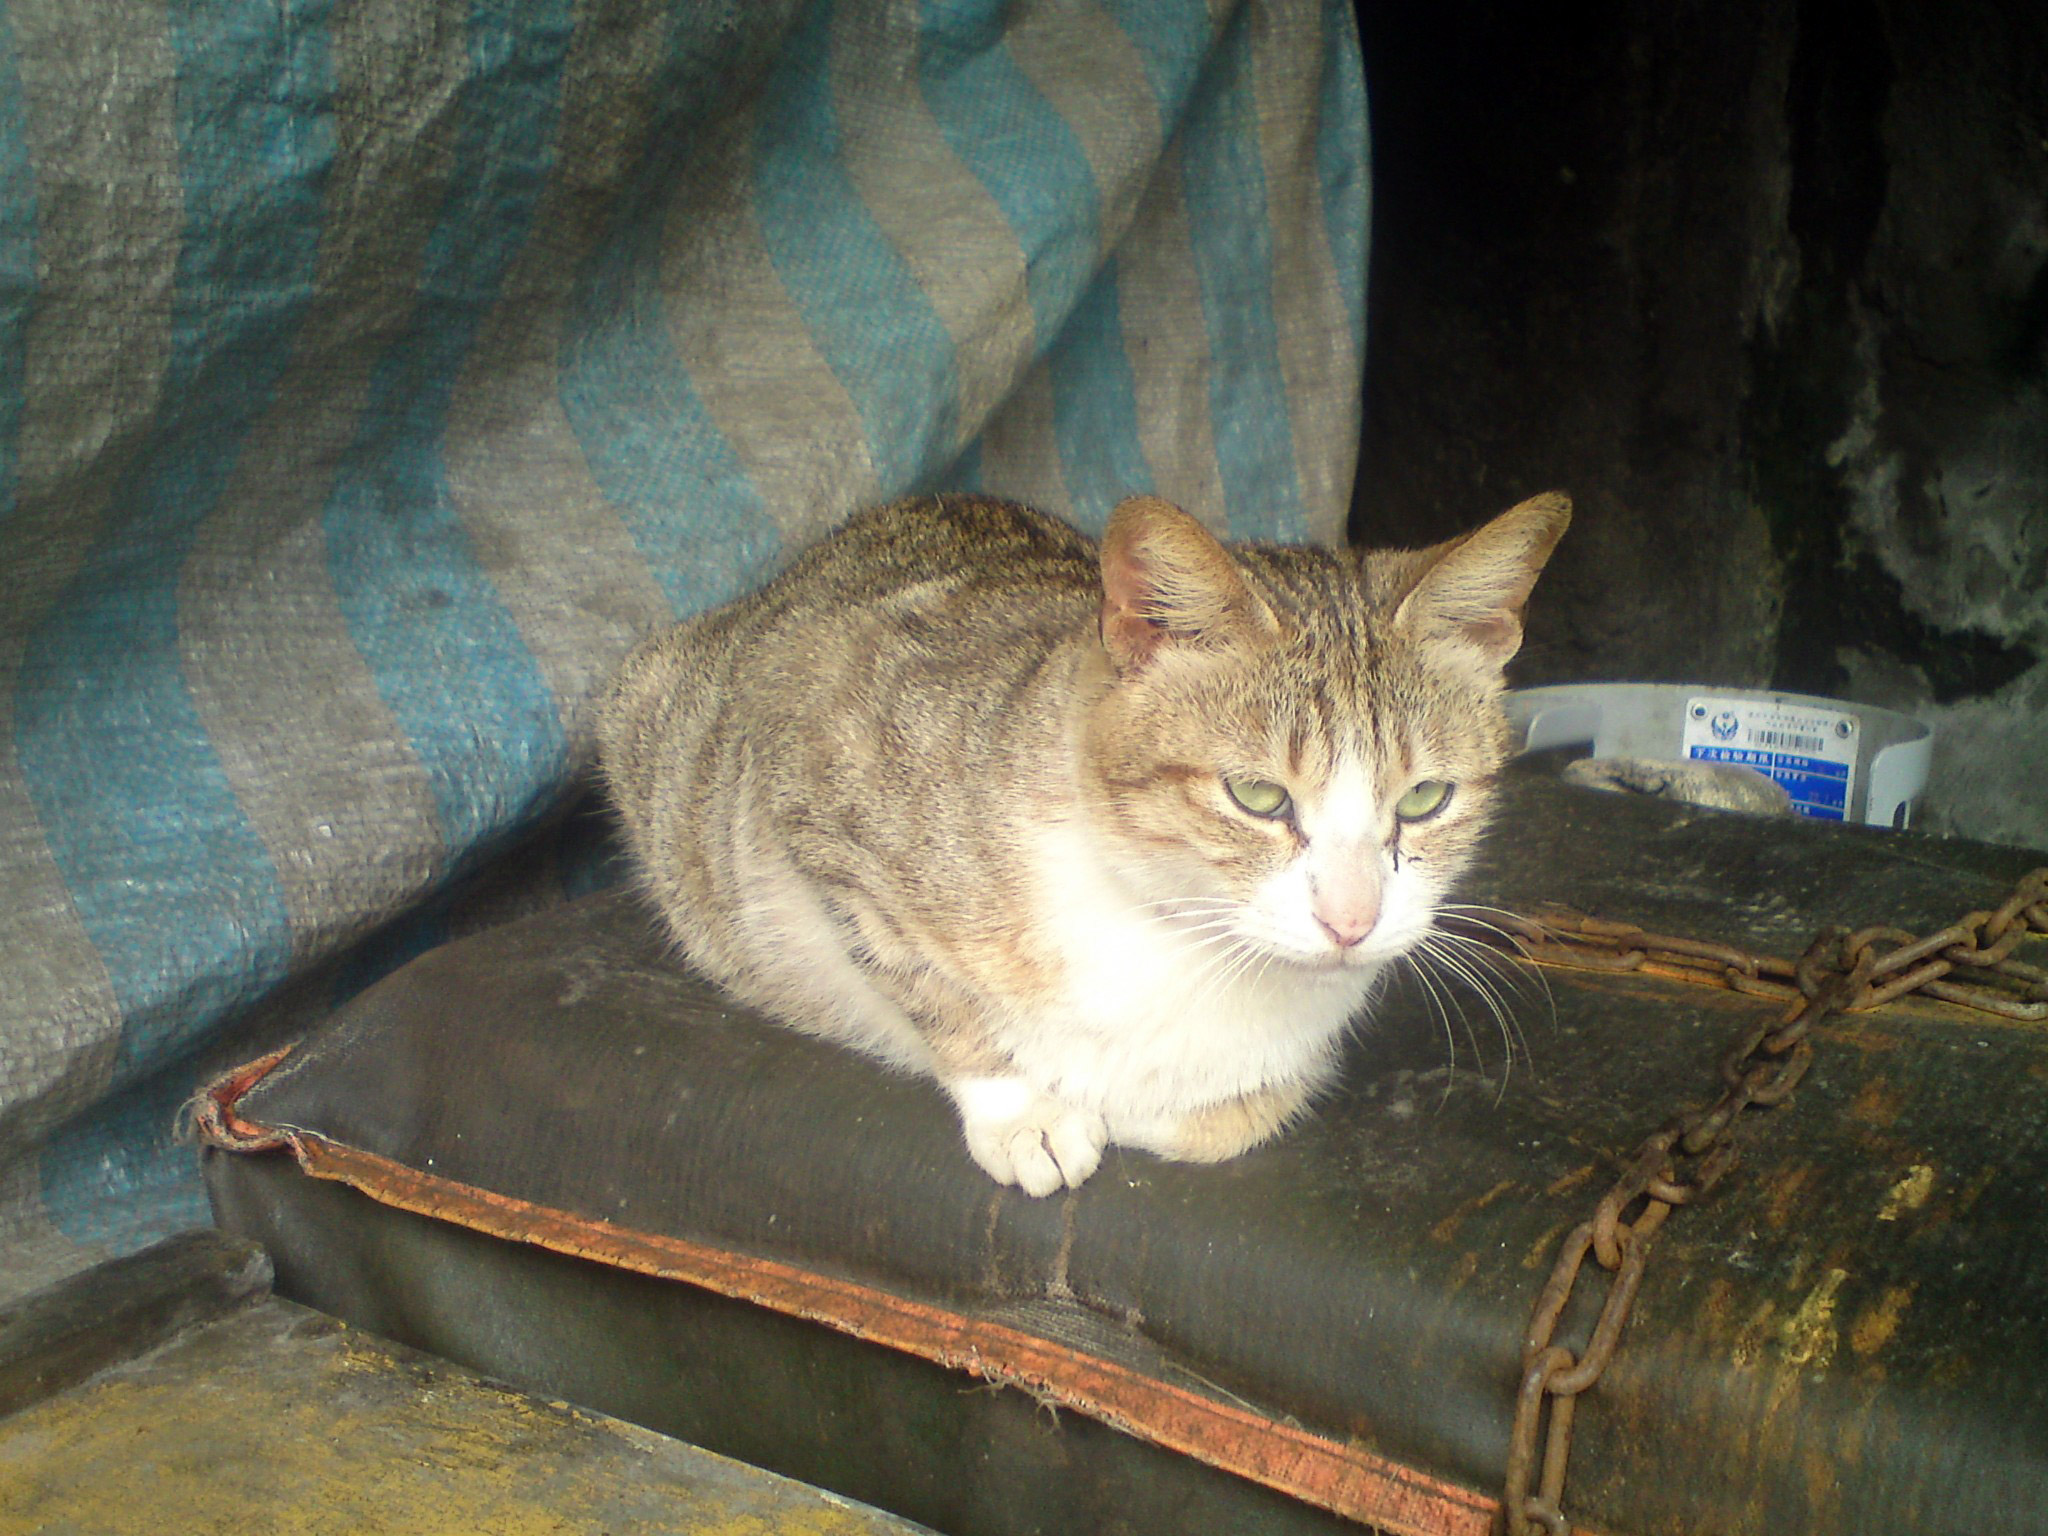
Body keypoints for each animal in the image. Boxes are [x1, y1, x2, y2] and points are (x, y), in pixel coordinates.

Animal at [593, 493, 1564, 1204]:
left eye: (1426, 798)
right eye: (1257, 796)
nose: (1352, 921)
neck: (1175, 937)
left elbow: (1235, 1115)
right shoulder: (817, 783)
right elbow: (928, 988)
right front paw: (1025, 1113)